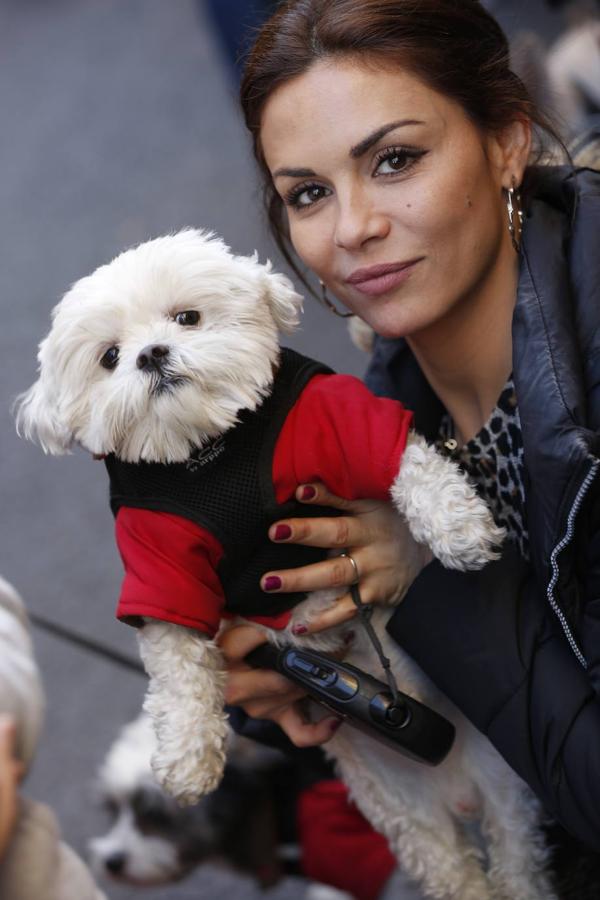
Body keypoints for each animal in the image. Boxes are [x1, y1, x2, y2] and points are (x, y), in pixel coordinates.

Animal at [16, 230, 556, 900]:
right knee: (454, 871)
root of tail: (459, 788)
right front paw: (189, 753)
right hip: (405, 813)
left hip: (509, 790)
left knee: (517, 856)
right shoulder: (158, 560)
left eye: (187, 318)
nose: (151, 354)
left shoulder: (339, 418)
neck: (211, 454)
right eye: (110, 357)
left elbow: (406, 460)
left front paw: (456, 527)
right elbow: (177, 662)